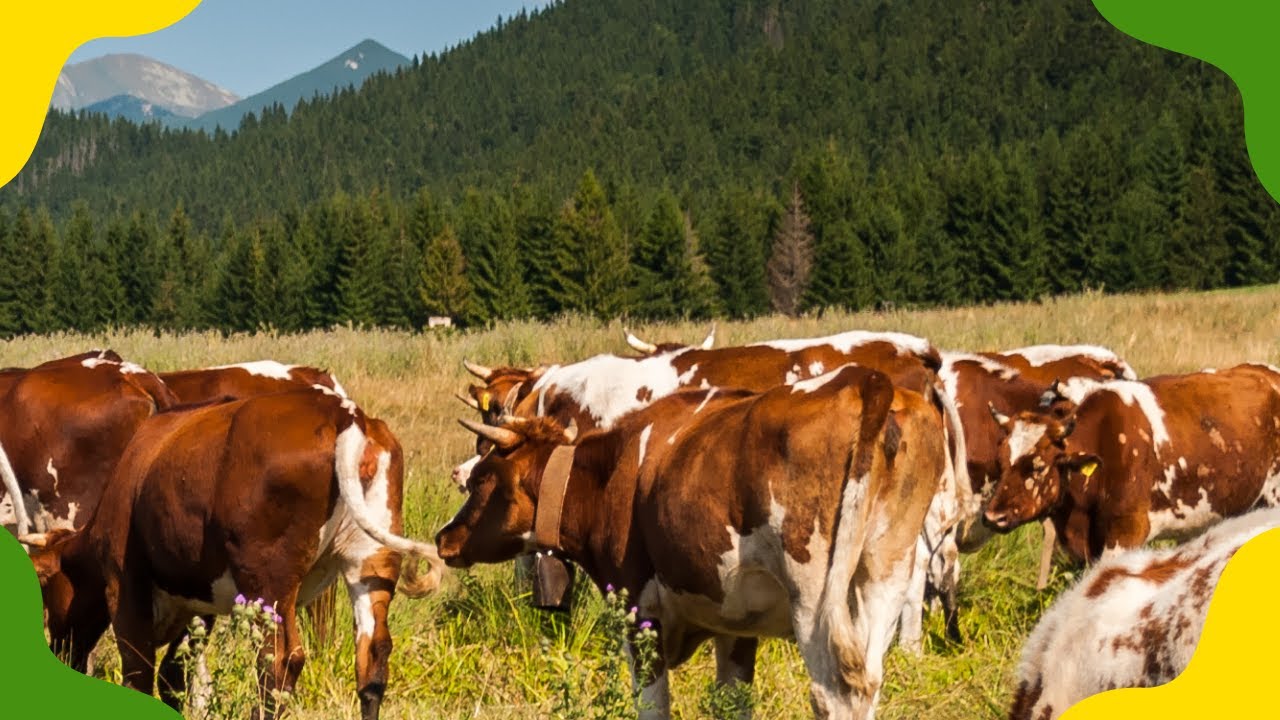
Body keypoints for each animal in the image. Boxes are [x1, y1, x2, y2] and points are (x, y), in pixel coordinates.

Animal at [22, 388, 442, 720]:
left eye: (46, 586)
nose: (58, 651)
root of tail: (340, 410)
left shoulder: (123, 588)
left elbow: (140, 673)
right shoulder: (197, 603)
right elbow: (174, 675)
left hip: (267, 582)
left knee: (279, 663)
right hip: (369, 562)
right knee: (372, 655)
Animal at [439, 364, 947, 719]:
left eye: (484, 480)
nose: (444, 537)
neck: (612, 472)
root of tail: (867, 382)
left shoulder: (640, 611)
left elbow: (652, 705)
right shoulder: (737, 623)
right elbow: (733, 702)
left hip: (814, 595)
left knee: (835, 692)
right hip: (884, 573)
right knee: (869, 681)